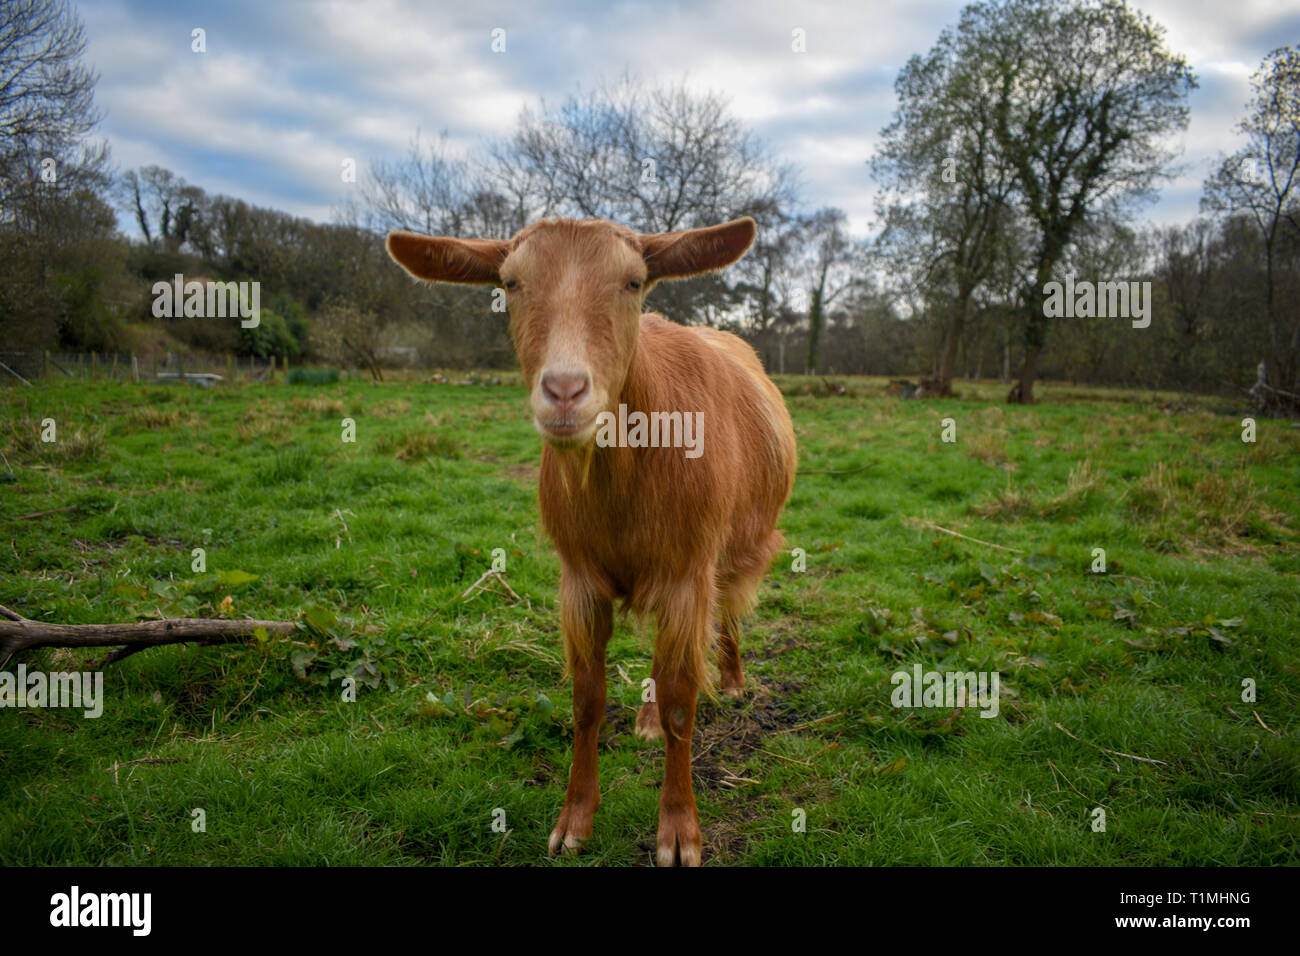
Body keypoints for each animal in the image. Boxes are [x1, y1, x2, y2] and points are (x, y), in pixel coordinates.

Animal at [387, 216, 797, 866]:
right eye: (511, 283)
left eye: (632, 282)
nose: (564, 390)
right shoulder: (578, 579)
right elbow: (587, 701)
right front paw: (574, 821)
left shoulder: (688, 571)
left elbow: (683, 701)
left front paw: (678, 833)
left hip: (738, 545)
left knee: (730, 607)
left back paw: (732, 681)